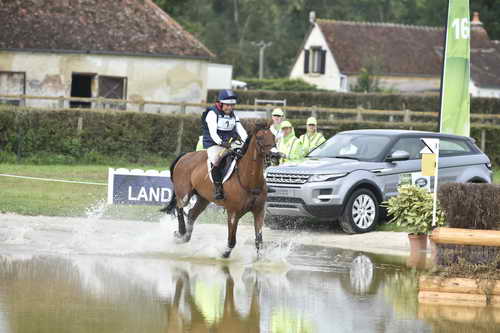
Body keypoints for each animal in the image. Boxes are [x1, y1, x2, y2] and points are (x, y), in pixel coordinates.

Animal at [162, 124, 276, 256]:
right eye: (259, 138)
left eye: (274, 136)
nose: (275, 155)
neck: (249, 180)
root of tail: (185, 156)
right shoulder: (233, 214)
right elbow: (231, 242)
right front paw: (223, 256)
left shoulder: (259, 212)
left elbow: (259, 242)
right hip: (184, 194)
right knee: (179, 207)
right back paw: (181, 232)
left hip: (203, 199)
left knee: (191, 214)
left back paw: (185, 236)